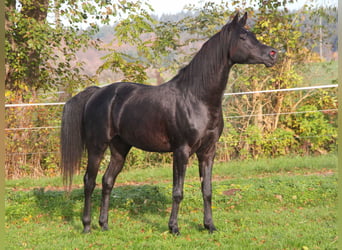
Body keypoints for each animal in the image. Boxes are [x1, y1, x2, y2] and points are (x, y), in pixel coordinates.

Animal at [60, 12, 276, 233]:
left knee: (107, 181)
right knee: (89, 182)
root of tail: (97, 92)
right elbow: (178, 191)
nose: (272, 54)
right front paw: (174, 228)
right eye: (242, 37)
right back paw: (86, 226)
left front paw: (210, 226)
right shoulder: (181, 151)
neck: (197, 98)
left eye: (253, 35)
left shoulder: (208, 151)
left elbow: (207, 190)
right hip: (97, 147)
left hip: (120, 148)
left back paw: (104, 224)